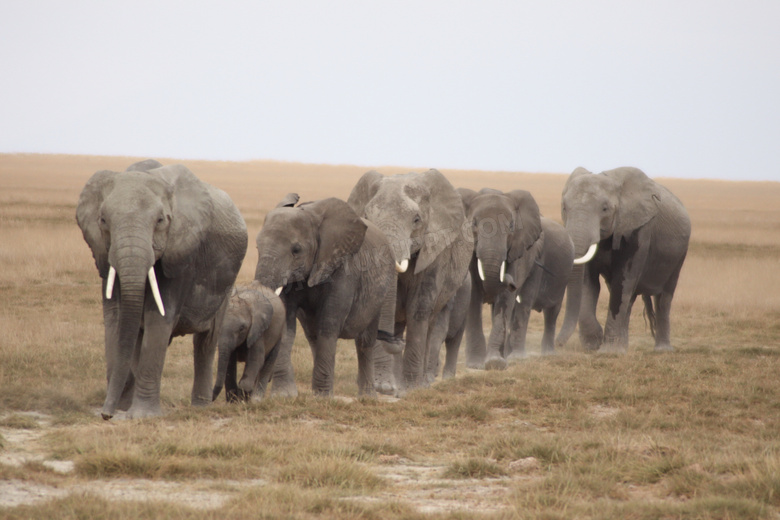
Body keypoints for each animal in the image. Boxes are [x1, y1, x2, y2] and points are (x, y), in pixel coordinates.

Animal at [75, 158, 247, 418]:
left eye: (160, 221)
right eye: (103, 220)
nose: (106, 414)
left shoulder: (182, 254)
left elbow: (158, 317)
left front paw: (141, 415)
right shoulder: (104, 254)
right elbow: (116, 317)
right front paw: (122, 409)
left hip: (225, 284)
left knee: (206, 341)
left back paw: (200, 406)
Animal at [552, 169, 692, 352]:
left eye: (605, 209)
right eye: (564, 207)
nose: (557, 343)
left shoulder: (638, 232)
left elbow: (623, 281)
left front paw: (608, 351)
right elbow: (588, 283)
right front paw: (593, 344)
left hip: (679, 254)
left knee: (663, 298)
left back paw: (662, 350)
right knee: (629, 298)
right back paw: (624, 346)